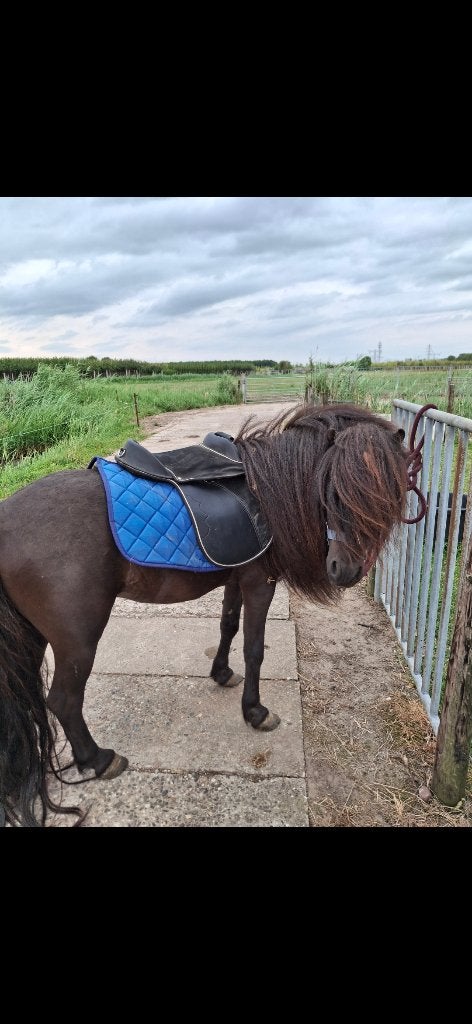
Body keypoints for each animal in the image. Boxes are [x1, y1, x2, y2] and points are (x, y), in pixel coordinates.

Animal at [0, 402, 423, 827]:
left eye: (392, 493)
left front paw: (221, 672)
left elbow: (228, 626)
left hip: (36, 639)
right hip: (78, 640)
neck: (267, 494)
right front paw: (255, 711)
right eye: (332, 489)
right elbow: (254, 648)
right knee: (63, 701)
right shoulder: (260, 582)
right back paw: (99, 759)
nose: (345, 570)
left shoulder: (237, 576)